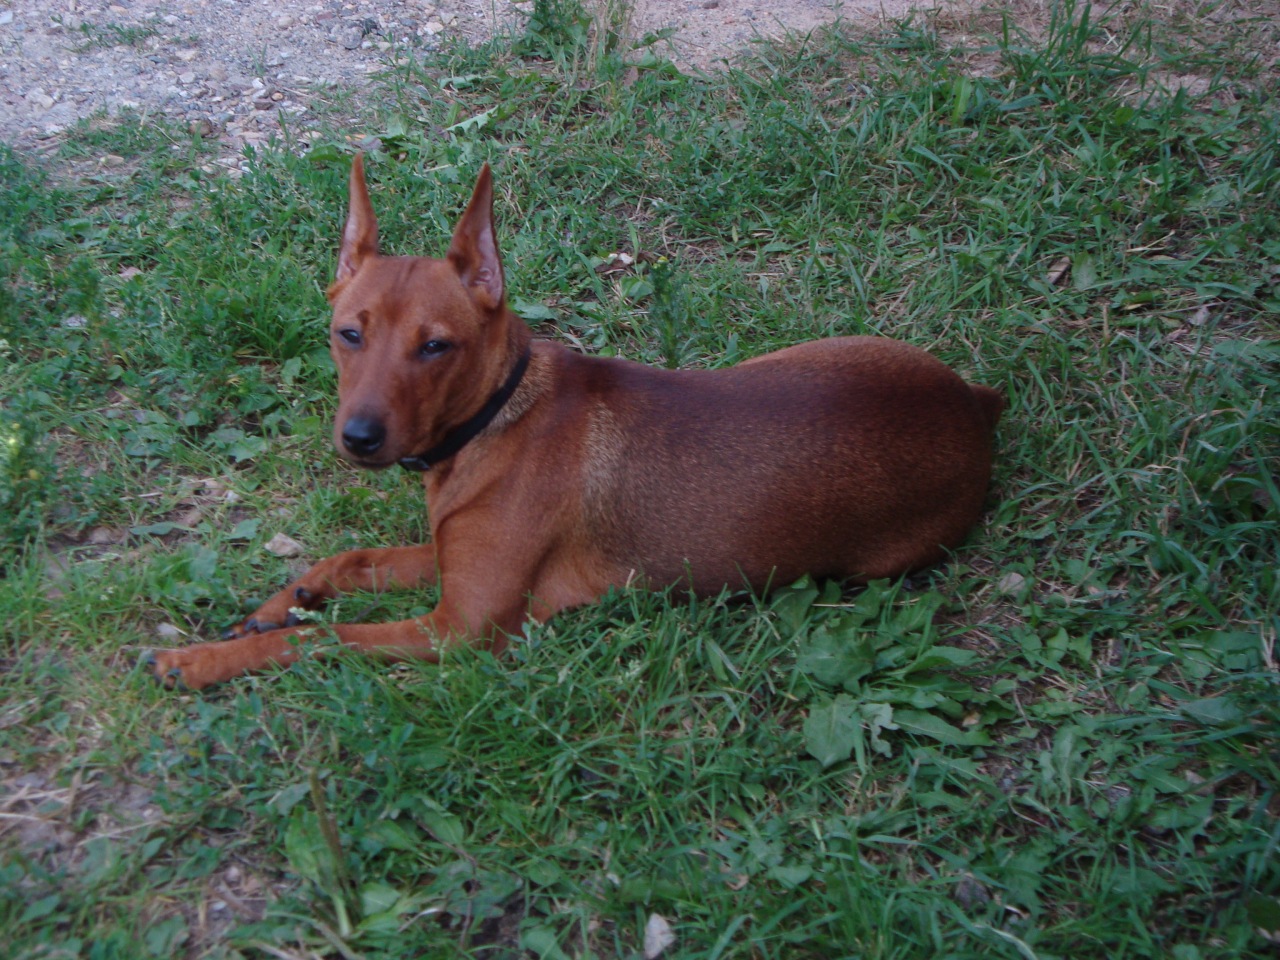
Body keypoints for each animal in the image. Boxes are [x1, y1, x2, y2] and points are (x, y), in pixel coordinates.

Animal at [147, 155, 1003, 689]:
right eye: (347, 334)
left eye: (436, 346)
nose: (358, 439)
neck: (495, 418)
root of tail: (973, 405)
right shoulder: (445, 559)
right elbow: (349, 560)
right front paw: (278, 600)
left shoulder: (457, 631)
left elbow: (317, 639)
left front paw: (204, 660)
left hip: (875, 561)